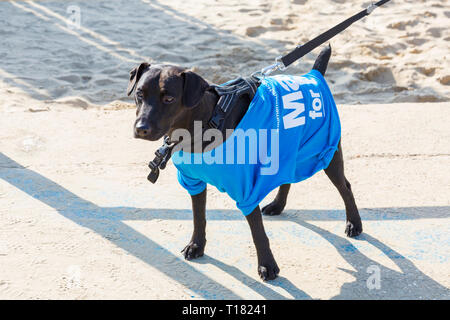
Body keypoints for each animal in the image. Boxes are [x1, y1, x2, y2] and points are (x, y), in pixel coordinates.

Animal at [126, 45, 362, 280]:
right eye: (139, 94)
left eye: (169, 99)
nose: (141, 128)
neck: (208, 123)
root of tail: (313, 76)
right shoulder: (194, 183)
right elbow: (198, 217)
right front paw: (197, 245)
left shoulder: (246, 190)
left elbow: (258, 232)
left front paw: (267, 265)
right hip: (288, 147)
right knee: (287, 178)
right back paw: (278, 205)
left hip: (328, 151)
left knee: (346, 188)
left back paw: (354, 223)